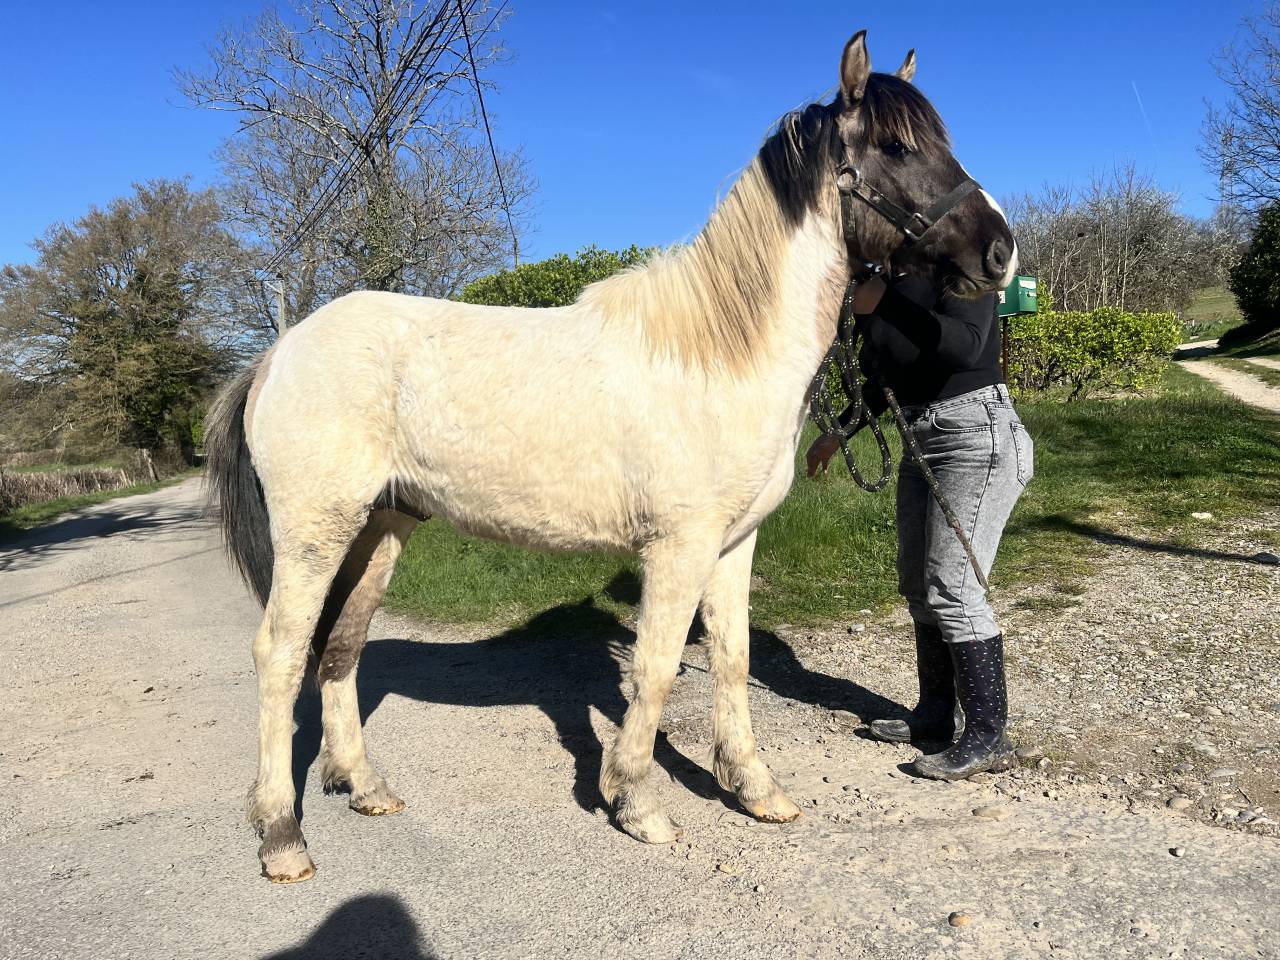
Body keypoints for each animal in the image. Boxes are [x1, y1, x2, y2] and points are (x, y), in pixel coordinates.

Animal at [205, 29, 1017, 883]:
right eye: (895, 146)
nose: (1000, 251)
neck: (719, 354)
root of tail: (276, 355)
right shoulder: (679, 546)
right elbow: (655, 667)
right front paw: (636, 803)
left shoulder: (734, 544)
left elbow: (731, 658)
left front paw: (755, 788)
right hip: (315, 532)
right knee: (281, 655)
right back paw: (281, 837)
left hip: (380, 529)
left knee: (340, 649)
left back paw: (364, 787)